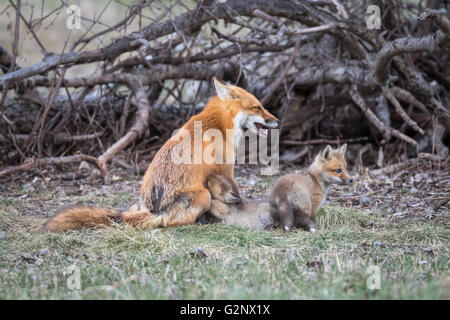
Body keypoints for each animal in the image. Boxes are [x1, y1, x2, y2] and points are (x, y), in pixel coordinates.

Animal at [44, 77, 278, 232]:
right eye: (258, 107)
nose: (277, 121)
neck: (219, 123)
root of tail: (152, 209)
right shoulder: (226, 170)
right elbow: (236, 192)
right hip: (203, 195)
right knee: (171, 222)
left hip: (142, 203)